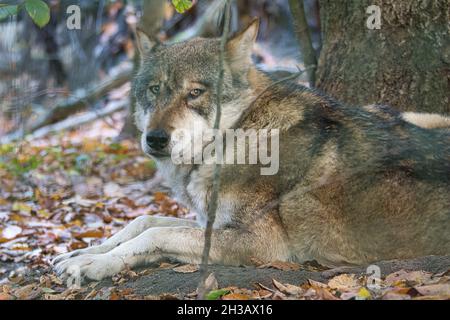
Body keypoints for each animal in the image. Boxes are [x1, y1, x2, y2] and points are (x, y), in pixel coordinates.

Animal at [53, 20, 450, 280]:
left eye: (194, 92)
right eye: (154, 90)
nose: (155, 139)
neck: (238, 134)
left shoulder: (265, 245)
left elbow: (156, 234)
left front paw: (90, 265)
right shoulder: (212, 220)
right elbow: (143, 221)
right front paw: (79, 253)